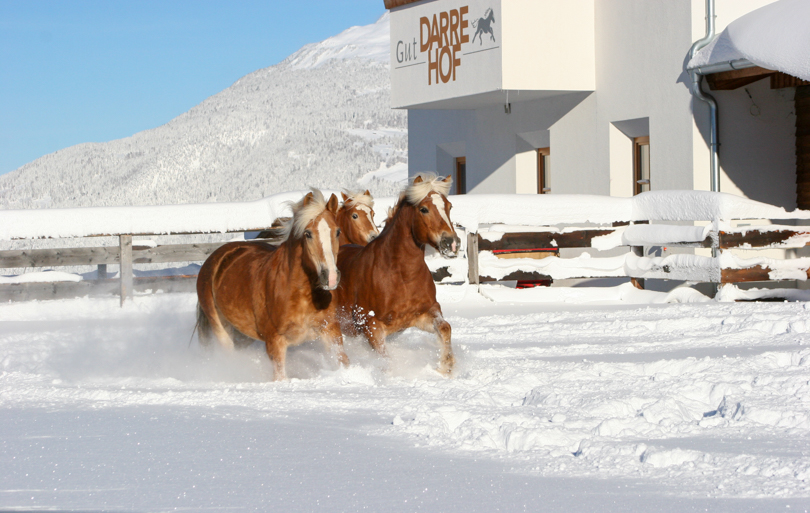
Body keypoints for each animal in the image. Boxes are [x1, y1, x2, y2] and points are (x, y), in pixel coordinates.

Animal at [197, 189, 348, 380]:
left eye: (337, 231)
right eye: (307, 234)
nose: (331, 277)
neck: (301, 295)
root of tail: (216, 257)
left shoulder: (330, 330)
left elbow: (344, 362)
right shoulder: (275, 342)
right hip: (220, 328)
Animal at [332, 174, 458, 374]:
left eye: (449, 206)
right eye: (423, 209)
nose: (451, 243)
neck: (402, 276)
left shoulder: (424, 313)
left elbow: (445, 327)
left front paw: (446, 366)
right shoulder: (371, 326)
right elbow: (385, 360)